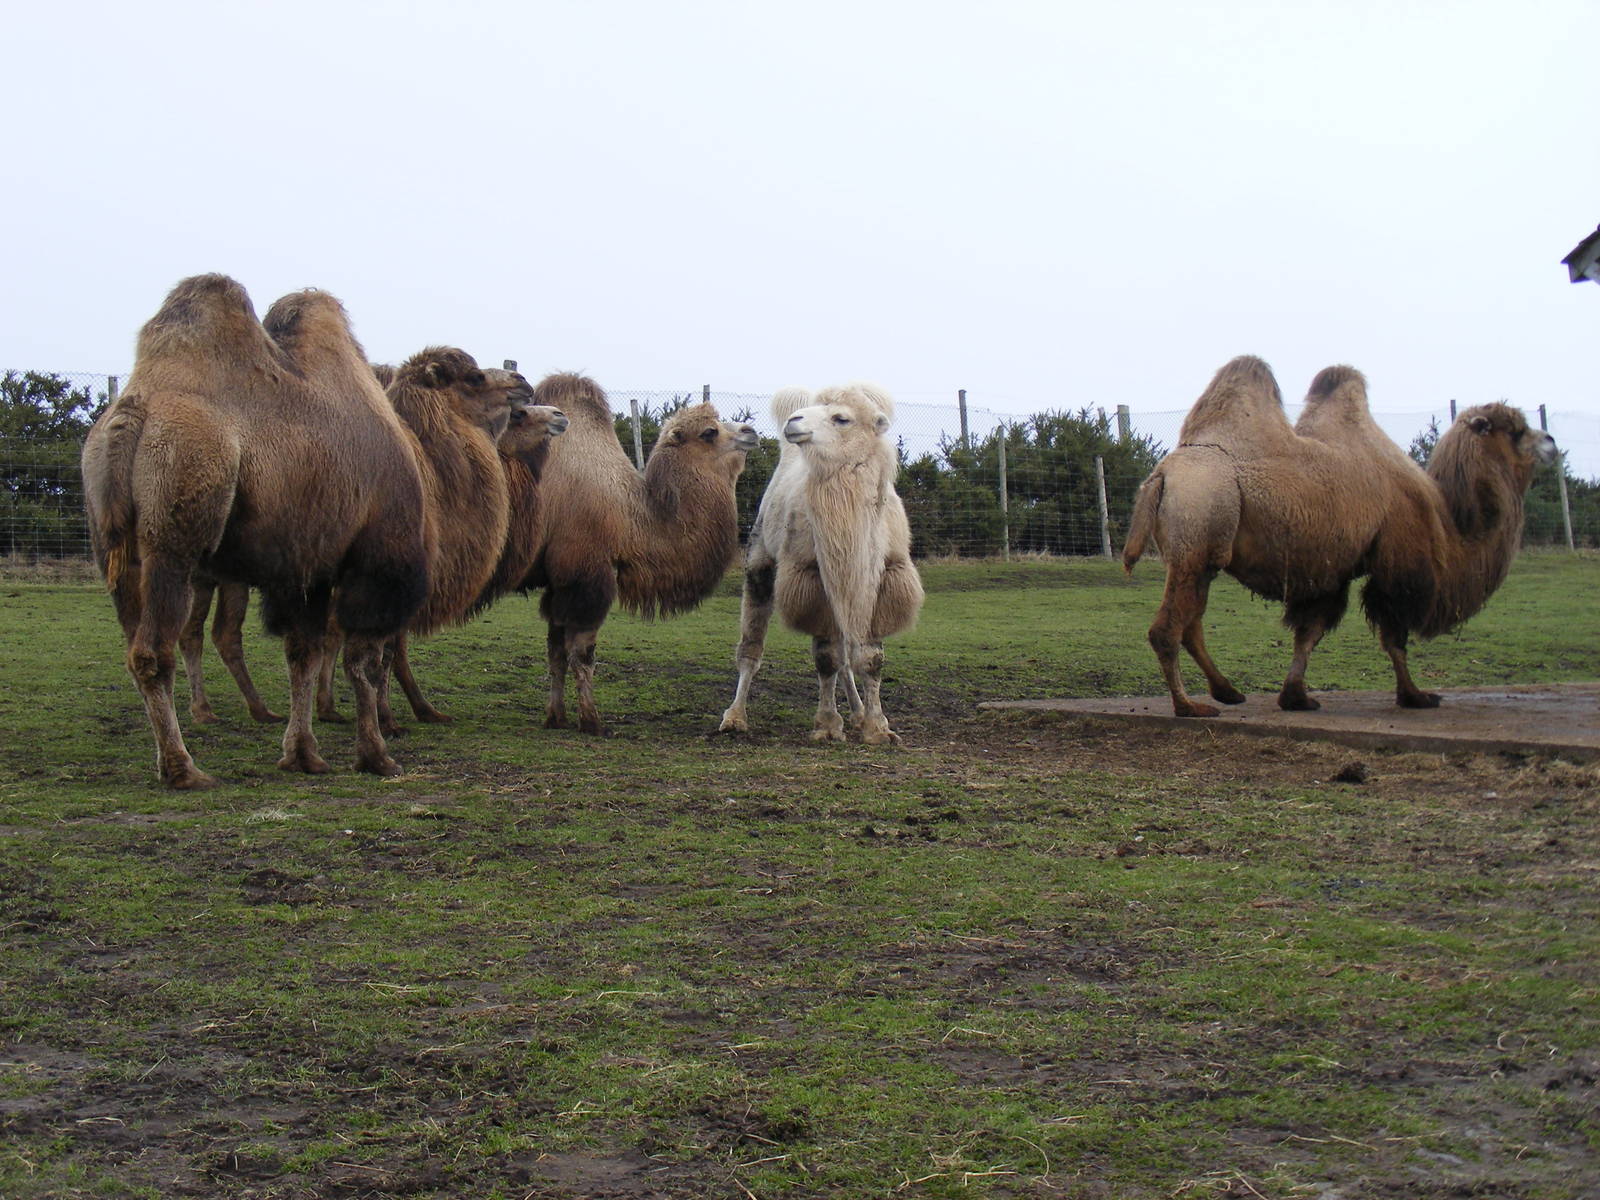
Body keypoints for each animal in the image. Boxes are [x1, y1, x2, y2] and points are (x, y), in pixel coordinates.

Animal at [80, 275, 429, 787]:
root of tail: (132, 415)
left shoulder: (306, 568)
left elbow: (303, 654)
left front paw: (302, 754)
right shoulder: (374, 560)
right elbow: (361, 661)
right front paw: (376, 756)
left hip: (114, 544)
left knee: (132, 643)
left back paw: (168, 762)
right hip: (174, 532)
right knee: (153, 650)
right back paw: (185, 769)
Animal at [516, 374, 758, 734]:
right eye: (709, 432)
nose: (750, 431)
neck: (630, 518)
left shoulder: (559, 585)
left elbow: (555, 652)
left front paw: (555, 717)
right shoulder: (586, 577)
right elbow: (582, 655)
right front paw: (591, 721)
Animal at [718, 383, 924, 744]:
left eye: (841, 418)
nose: (793, 421)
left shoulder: (880, 582)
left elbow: (870, 658)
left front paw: (877, 727)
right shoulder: (812, 578)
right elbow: (827, 658)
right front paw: (828, 726)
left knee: (846, 655)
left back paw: (857, 712)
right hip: (760, 559)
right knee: (751, 648)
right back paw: (734, 717)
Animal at [1122, 356, 1557, 717]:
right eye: (1515, 430)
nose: (1551, 442)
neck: (1447, 523)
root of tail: (1161, 476)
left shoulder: (1330, 574)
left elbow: (1309, 632)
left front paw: (1295, 697)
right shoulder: (1398, 563)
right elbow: (1394, 635)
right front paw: (1415, 696)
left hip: (1202, 555)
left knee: (1191, 622)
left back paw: (1227, 692)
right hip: (1199, 529)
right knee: (1167, 629)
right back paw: (1189, 706)